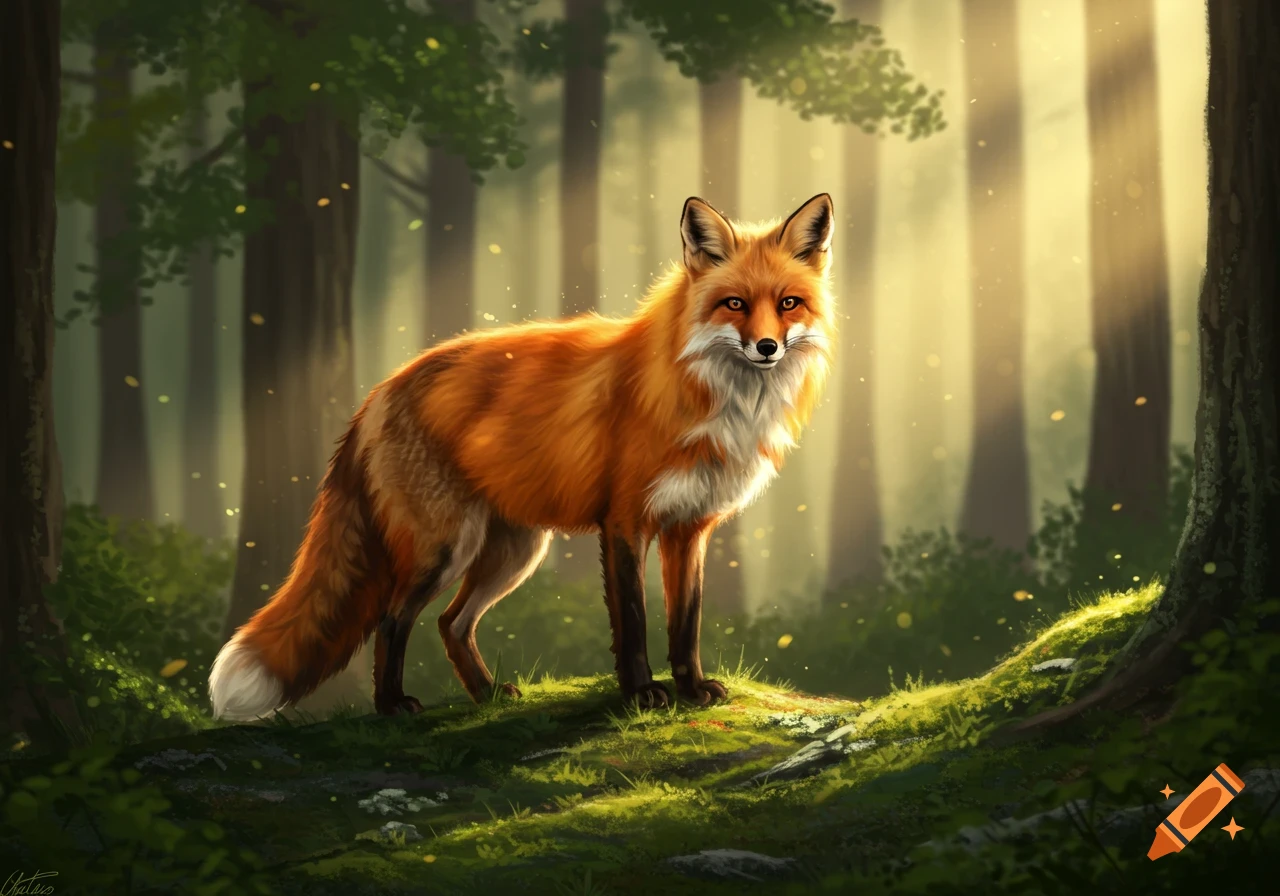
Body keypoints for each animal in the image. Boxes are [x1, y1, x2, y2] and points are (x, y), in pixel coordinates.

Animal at [208, 193, 836, 720]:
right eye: (734, 304)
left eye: (788, 304)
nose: (767, 347)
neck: (709, 396)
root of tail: (381, 388)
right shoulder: (625, 521)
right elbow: (633, 623)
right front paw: (640, 694)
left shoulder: (689, 527)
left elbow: (687, 624)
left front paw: (691, 689)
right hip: (445, 548)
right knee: (392, 618)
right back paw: (392, 706)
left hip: (513, 551)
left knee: (451, 623)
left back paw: (485, 695)